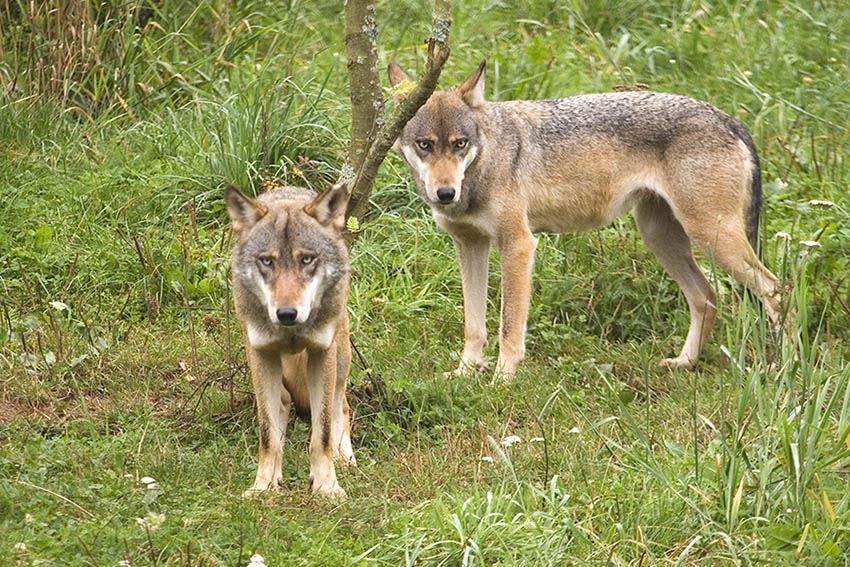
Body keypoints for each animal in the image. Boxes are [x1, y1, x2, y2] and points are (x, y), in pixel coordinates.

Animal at [224, 182, 352, 496]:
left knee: (341, 405)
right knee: (281, 403)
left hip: (341, 355)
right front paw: (264, 486)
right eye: (267, 261)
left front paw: (327, 487)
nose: (286, 313)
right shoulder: (261, 354)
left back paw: (346, 459)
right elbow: (268, 434)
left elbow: (322, 433)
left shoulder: (322, 353)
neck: (291, 333)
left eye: (306, 259)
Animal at [390, 60, 788, 380]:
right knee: (706, 296)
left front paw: (502, 379)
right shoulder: (470, 246)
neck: (487, 158)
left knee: (776, 290)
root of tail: (729, 119)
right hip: (662, 239)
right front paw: (464, 373)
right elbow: (474, 326)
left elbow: (508, 325)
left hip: (711, 238)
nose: (445, 193)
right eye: (425, 145)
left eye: (460, 144)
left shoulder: (518, 245)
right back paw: (684, 363)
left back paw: (786, 369)